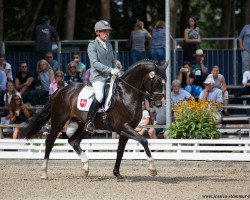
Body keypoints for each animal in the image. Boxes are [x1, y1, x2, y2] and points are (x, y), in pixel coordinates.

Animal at [21, 59, 166, 180]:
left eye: (165, 81)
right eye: (158, 81)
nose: (159, 103)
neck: (127, 93)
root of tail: (60, 90)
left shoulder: (125, 130)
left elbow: (120, 151)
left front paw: (117, 173)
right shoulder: (123, 127)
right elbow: (144, 141)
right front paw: (152, 169)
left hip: (83, 125)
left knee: (73, 141)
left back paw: (85, 167)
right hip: (58, 122)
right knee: (50, 142)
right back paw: (44, 173)